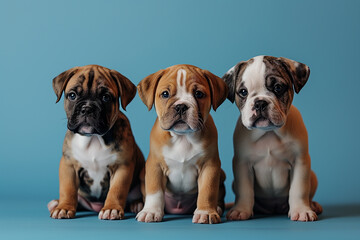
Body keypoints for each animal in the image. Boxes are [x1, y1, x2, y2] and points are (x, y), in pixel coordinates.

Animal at [47, 64, 145, 220]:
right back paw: (56, 203)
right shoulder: (68, 166)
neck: (93, 138)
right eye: (72, 95)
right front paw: (64, 207)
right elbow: (67, 189)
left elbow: (117, 190)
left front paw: (111, 208)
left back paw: (137, 204)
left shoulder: (122, 167)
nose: (87, 108)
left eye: (106, 97)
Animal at [135, 64, 228, 224]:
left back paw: (218, 207)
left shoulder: (210, 166)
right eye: (165, 94)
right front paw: (151, 211)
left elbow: (208, 190)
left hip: (221, 174)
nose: (181, 106)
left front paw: (206, 212)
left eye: (199, 94)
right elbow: (154, 191)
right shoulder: (155, 166)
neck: (182, 137)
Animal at [224, 55, 322, 221]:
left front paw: (301, 210)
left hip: (313, 176)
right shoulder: (242, 164)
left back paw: (312, 205)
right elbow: (245, 190)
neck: (268, 132)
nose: (260, 102)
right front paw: (241, 210)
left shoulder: (300, 161)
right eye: (243, 92)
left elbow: (299, 188)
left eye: (278, 88)